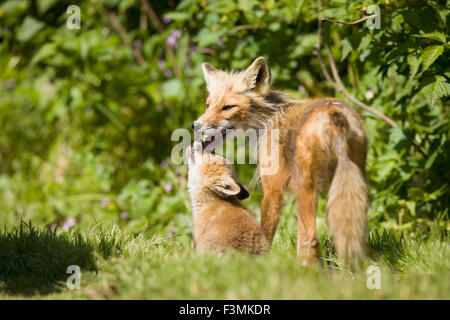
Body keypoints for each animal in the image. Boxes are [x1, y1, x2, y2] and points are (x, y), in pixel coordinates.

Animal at [192, 57, 368, 264]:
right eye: (208, 105)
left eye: (228, 107)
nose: (195, 125)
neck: (268, 119)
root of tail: (334, 114)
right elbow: (300, 238)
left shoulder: (272, 190)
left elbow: (267, 233)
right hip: (355, 183)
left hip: (305, 189)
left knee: (313, 237)